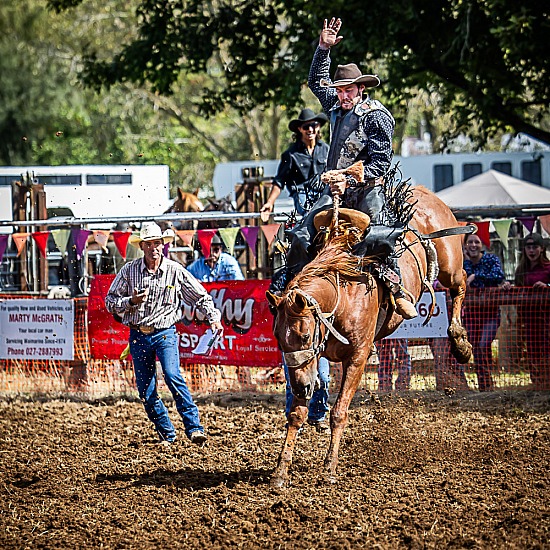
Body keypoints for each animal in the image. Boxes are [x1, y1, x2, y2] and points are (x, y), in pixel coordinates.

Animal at [268, 174, 474, 488]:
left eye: (303, 335)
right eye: (279, 339)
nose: (302, 387)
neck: (342, 294)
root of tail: (423, 193)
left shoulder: (358, 355)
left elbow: (339, 411)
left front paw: (330, 468)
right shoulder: (310, 363)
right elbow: (297, 412)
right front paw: (281, 470)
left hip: (450, 263)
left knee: (460, 284)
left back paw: (461, 344)